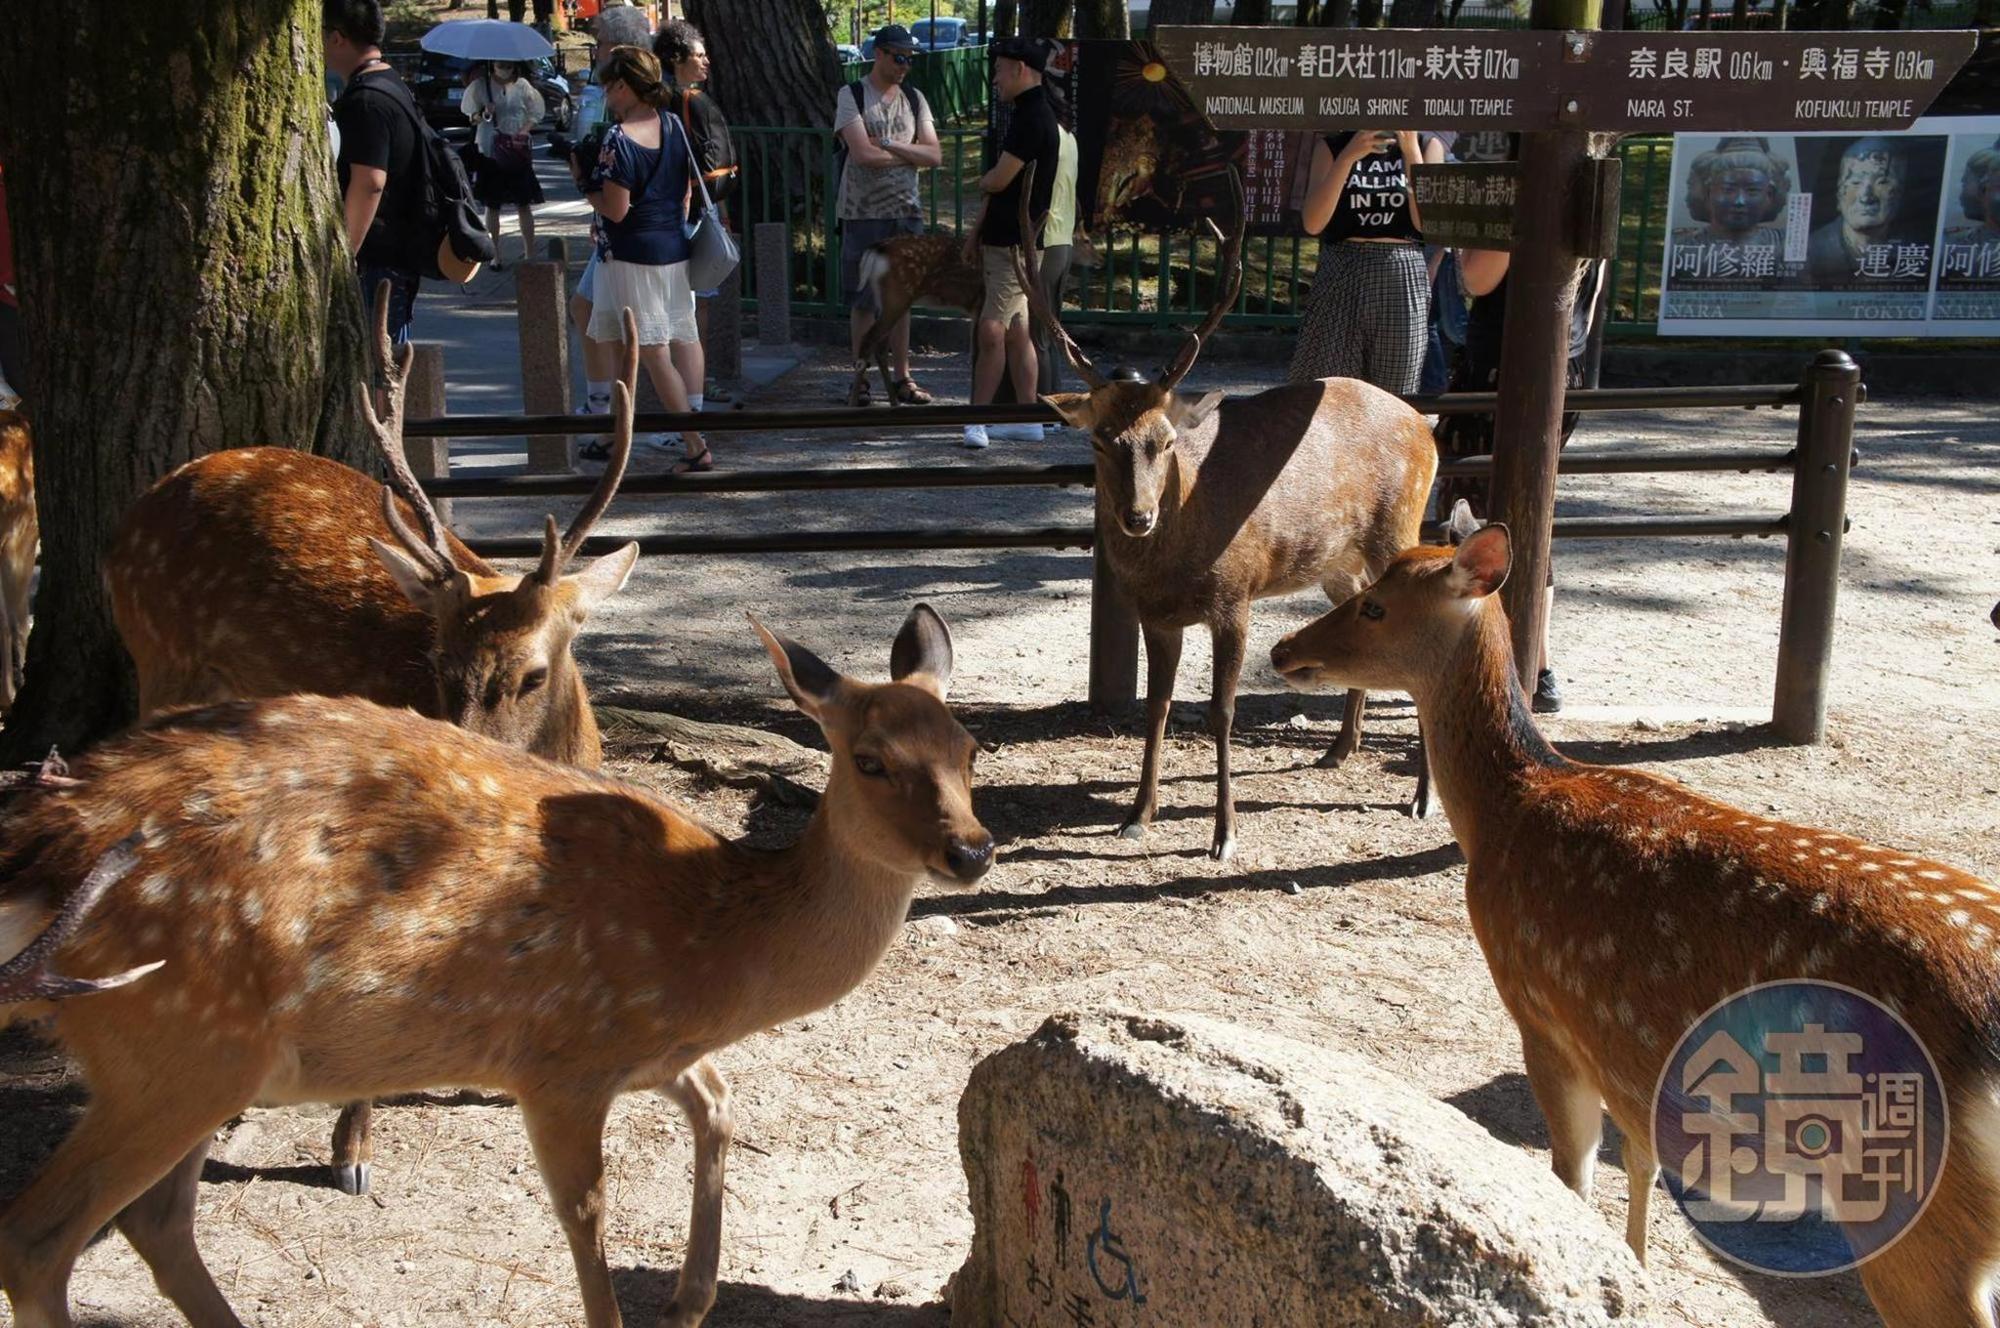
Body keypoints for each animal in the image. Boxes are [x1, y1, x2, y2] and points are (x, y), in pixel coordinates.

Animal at [0, 603, 992, 1328]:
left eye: (969, 746)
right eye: (869, 760)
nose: (972, 851)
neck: (712, 943)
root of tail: (48, 846)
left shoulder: (651, 1051)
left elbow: (717, 1104)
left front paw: (689, 1300)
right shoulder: (560, 1060)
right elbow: (588, 1216)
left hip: (194, 1057)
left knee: (155, 1222)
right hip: (178, 1041)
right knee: (40, 1239)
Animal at [103, 296, 642, 1196]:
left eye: (532, 673)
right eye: (438, 665)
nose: (469, 771)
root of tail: (126, 523)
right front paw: (351, 1149)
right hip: (158, 653)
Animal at [1017, 173, 1439, 861]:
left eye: (1164, 440)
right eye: (1101, 439)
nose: (1138, 517)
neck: (1175, 565)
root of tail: (1425, 424)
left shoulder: (1236, 596)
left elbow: (1221, 712)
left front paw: (1224, 834)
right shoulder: (1156, 615)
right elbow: (1157, 706)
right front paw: (1138, 815)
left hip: (1398, 525)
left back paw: (1423, 799)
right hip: (1337, 563)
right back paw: (1338, 749)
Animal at [1269, 524, 2000, 1328]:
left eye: (1375, 605)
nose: (1281, 648)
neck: (1506, 812)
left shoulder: (1542, 1010)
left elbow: (1571, 1177)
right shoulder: (1626, 1057)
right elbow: (1643, 1160)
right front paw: (1637, 1274)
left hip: (1911, 1205)